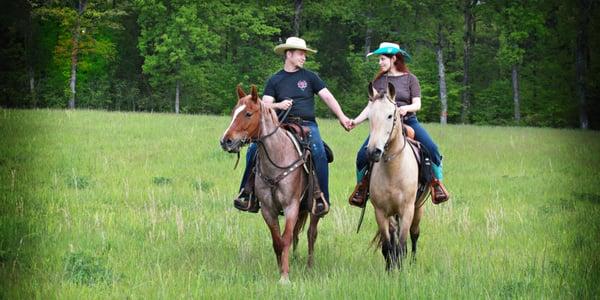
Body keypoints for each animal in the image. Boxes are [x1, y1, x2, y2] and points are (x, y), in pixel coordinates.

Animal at [220, 84, 322, 284]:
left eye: (248, 113)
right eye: (234, 112)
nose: (226, 141)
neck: (277, 157)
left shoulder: (291, 206)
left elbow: (286, 238)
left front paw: (285, 277)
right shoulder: (268, 208)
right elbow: (278, 241)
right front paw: (280, 269)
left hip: (313, 209)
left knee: (311, 234)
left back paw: (309, 266)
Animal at [364, 82, 428, 272]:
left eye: (390, 115)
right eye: (369, 116)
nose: (373, 152)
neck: (393, 170)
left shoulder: (407, 210)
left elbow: (401, 245)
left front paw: (400, 271)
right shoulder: (380, 212)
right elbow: (387, 246)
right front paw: (389, 270)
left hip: (418, 208)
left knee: (414, 234)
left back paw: (412, 261)